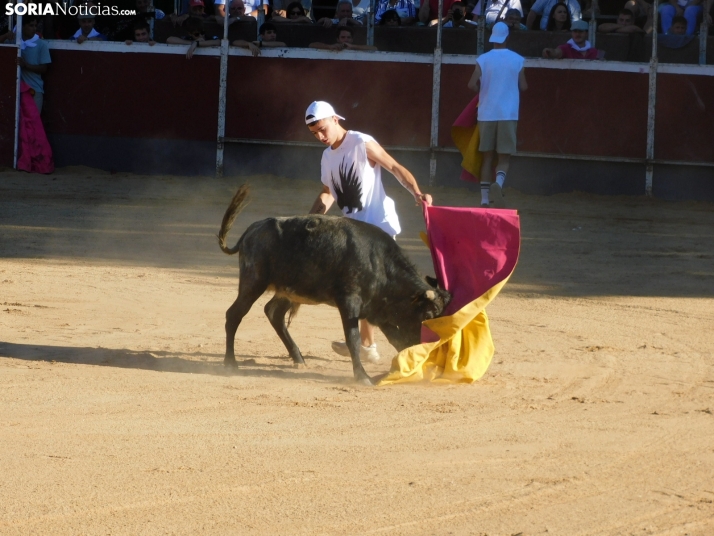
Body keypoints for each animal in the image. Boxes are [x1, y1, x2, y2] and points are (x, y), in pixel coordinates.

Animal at [217, 185, 450, 386]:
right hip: (253, 281)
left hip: (287, 290)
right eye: (428, 315)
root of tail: (251, 231)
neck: (379, 263)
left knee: (274, 313)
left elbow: (398, 341)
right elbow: (353, 338)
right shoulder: (349, 301)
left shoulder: (379, 311)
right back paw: (230, 363)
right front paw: (363, 377)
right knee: (234, 314)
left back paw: (298, 358)